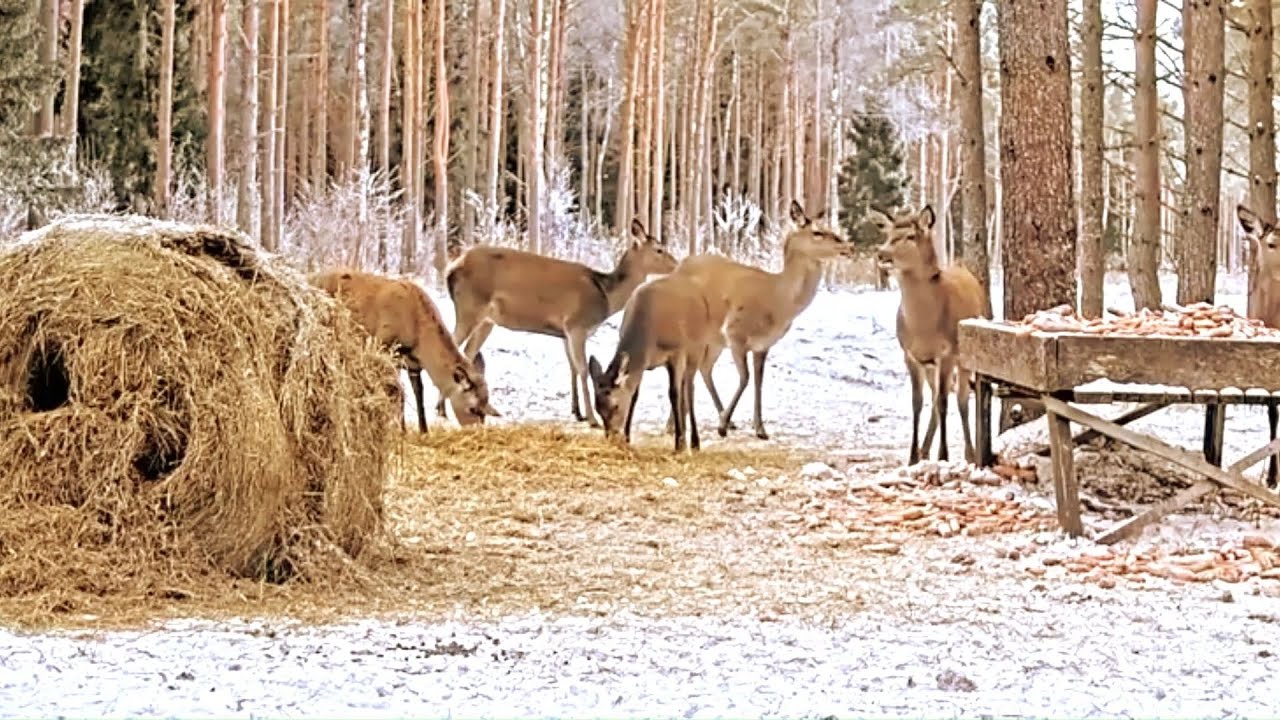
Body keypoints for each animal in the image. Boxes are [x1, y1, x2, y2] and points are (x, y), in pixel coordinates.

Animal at [309, 268, 500, 432]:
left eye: (486, 408)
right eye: (473, 409)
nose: (477, 431)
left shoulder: (413, 364)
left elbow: (418, 394)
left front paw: (423, 430)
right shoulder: (383, 348)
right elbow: (398, 393)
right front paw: (402, 430)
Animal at [440, 218, 678, 427]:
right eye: (659, 249)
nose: (676, 265)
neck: (606, 296)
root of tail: (450, 269)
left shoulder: (565, 332)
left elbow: (572, 367)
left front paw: (577, 412)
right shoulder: (577, 324)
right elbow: (583, 369)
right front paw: (592, 419)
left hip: (487, 320)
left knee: (467, 353)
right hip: (469, 307)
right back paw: (441, 409)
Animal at [587, 273, 715, 452]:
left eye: (615, 406)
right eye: (598, 408)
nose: (611, 437)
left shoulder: (677, 352)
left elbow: (673, 393)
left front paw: (679, 445)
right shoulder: (643, 365)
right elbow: (634, 395)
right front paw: (627, 438)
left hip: (697, 349)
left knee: (689, 390)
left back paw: (694, 443)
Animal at [670, 201, 855, 440]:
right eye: (817, 232)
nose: (849, 247)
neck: (777, 301)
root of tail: (677, 266)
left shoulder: (763, 345)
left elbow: (759, 382)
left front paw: (759, 429)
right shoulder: (735, 333)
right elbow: (745, 378)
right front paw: (723, 425)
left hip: (713, 340)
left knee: (703, 368)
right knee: (688, 369)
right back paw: (679, 424)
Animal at [870, 205, 988, 465]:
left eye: (910, 236)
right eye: (888, 234)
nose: (882, 253)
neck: (923, 327)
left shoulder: (947, 352)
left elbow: (944, 402)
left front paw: (943, 456)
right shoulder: (910, 355)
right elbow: (917, 403)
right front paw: (913, 457)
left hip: (965, 355)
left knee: (961, 400)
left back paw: (969, 453)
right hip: (932, 365)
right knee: (936, 399)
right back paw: (925, 450)